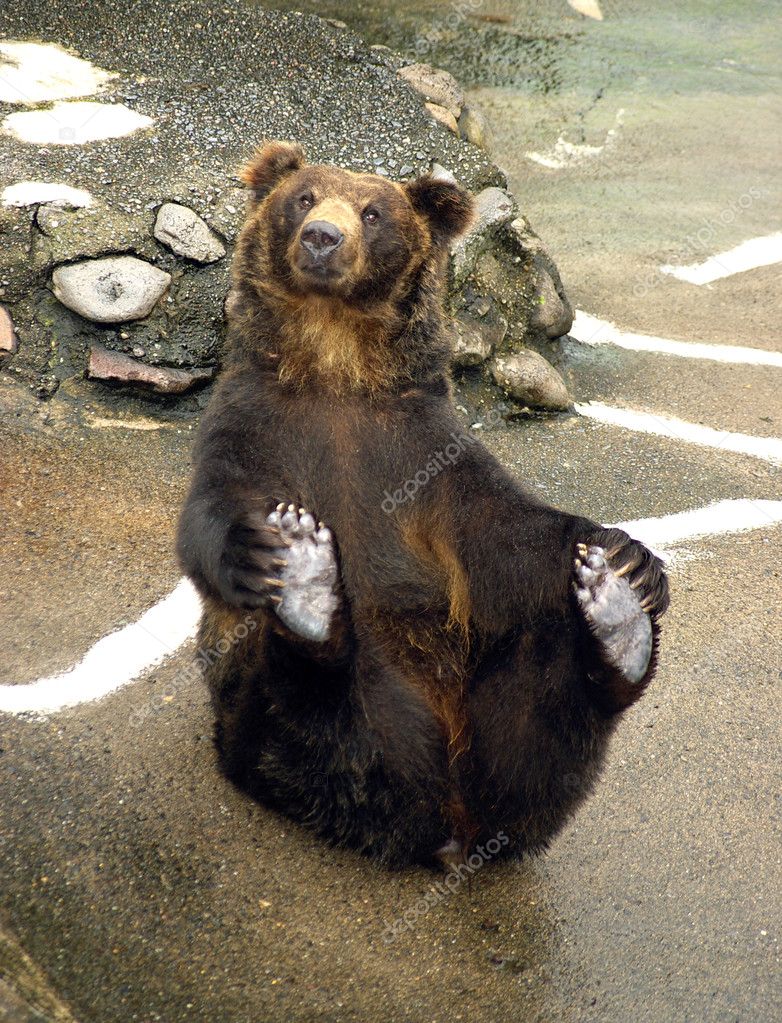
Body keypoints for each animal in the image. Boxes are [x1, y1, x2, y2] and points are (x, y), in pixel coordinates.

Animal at [177, 140, 667, 867]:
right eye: (303, 197)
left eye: (372, 212)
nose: (321, 238)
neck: (334, 367)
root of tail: (450, 817)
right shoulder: (254, 424)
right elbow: (213, 509)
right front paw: (262, 545)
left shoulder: (425, 456)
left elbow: (505, 533)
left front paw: (632, 559)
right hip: (312, 729)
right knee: (308, 718)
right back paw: (307, 594)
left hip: (488, 709)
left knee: (542, 699)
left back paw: (616, 623)